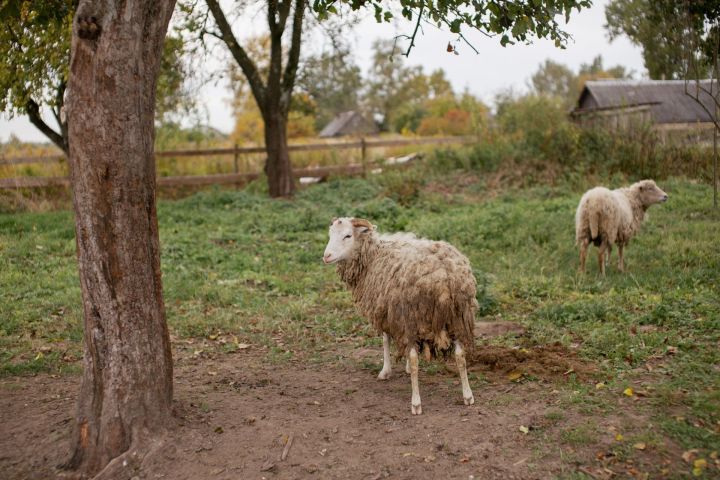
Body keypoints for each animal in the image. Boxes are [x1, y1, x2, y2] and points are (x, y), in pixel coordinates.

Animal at [324, 216, 476, 414]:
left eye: (348, 235)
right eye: (330, 234)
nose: (326, 256)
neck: (374, 255)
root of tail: (444, 276)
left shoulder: (386, 309)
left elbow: (385, 339)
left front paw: (385, 371)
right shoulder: (392, 312)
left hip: (411, 316)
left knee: (414, 358)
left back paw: (416, 403)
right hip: (457, 316)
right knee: (460, 355)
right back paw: (468, 395)